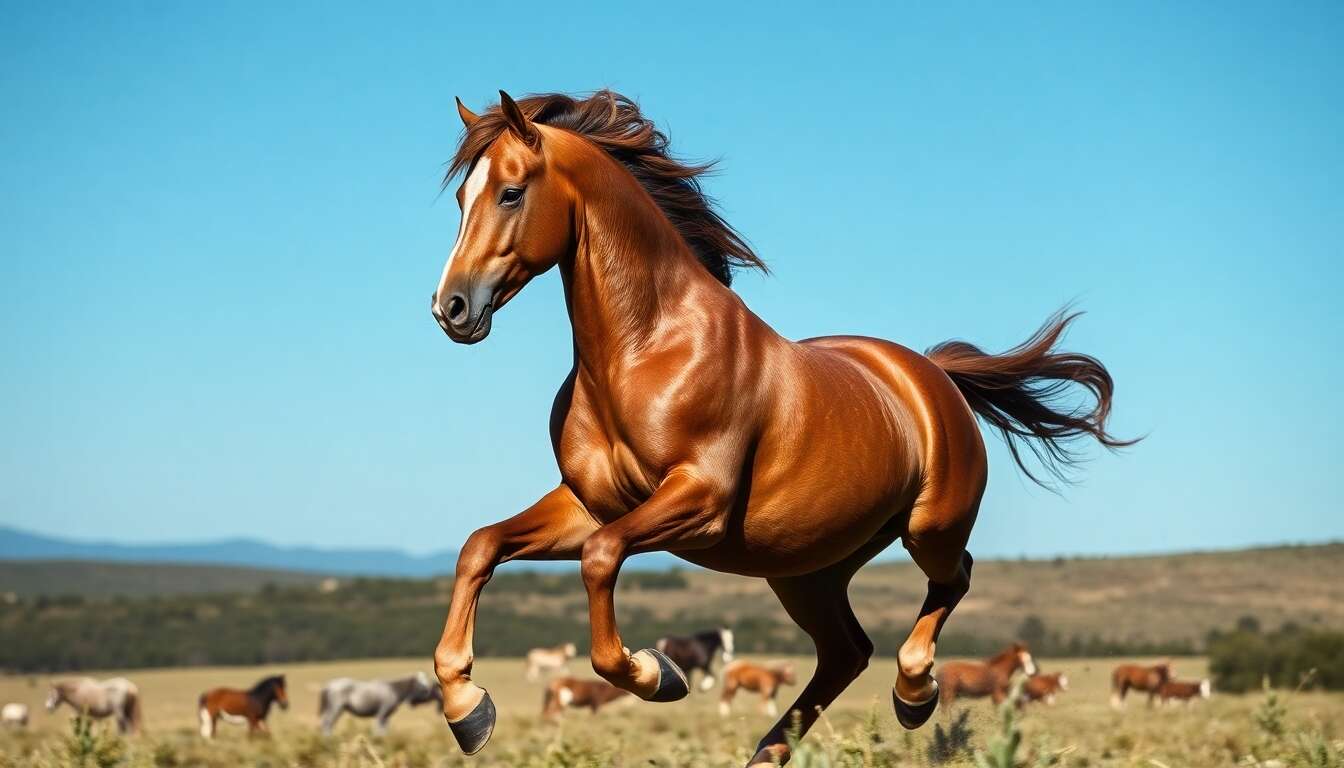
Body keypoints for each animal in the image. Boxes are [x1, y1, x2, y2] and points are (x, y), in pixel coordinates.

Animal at [429, 89, 1132, 766]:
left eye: (511, 191)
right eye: (461, 196)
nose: (451, 308)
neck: (644, 351)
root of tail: (933, 377)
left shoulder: (699, 502)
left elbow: (600, 562)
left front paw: (657, 674)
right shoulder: (591, 504)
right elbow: (481, 547)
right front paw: (468, 709)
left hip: (926, 530)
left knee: (951, 578)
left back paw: (913, 693)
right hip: (807, 569)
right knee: (846, 651)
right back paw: (772, 751)